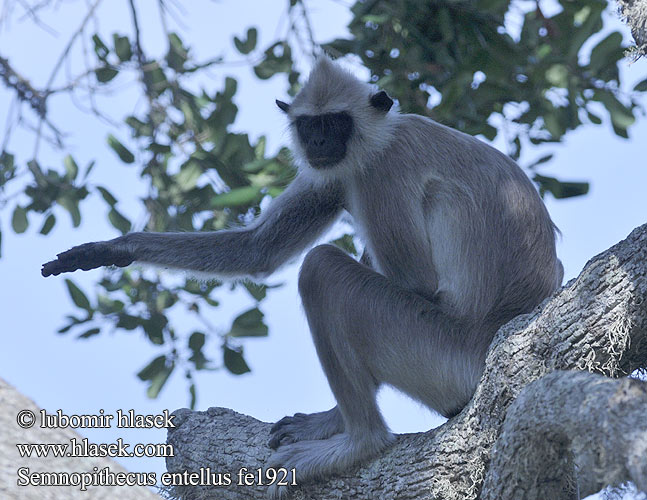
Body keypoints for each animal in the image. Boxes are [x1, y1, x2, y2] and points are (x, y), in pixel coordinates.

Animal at [44, 57, 560, 496]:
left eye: (335, 123)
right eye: (309, 125)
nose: (318, 144)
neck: (379, 137)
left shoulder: (382, 170)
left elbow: (418, 283)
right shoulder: (335, 173)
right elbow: (258, 251)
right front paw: (113, 249)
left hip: (441, 352)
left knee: (322, 270)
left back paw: (359, 442)